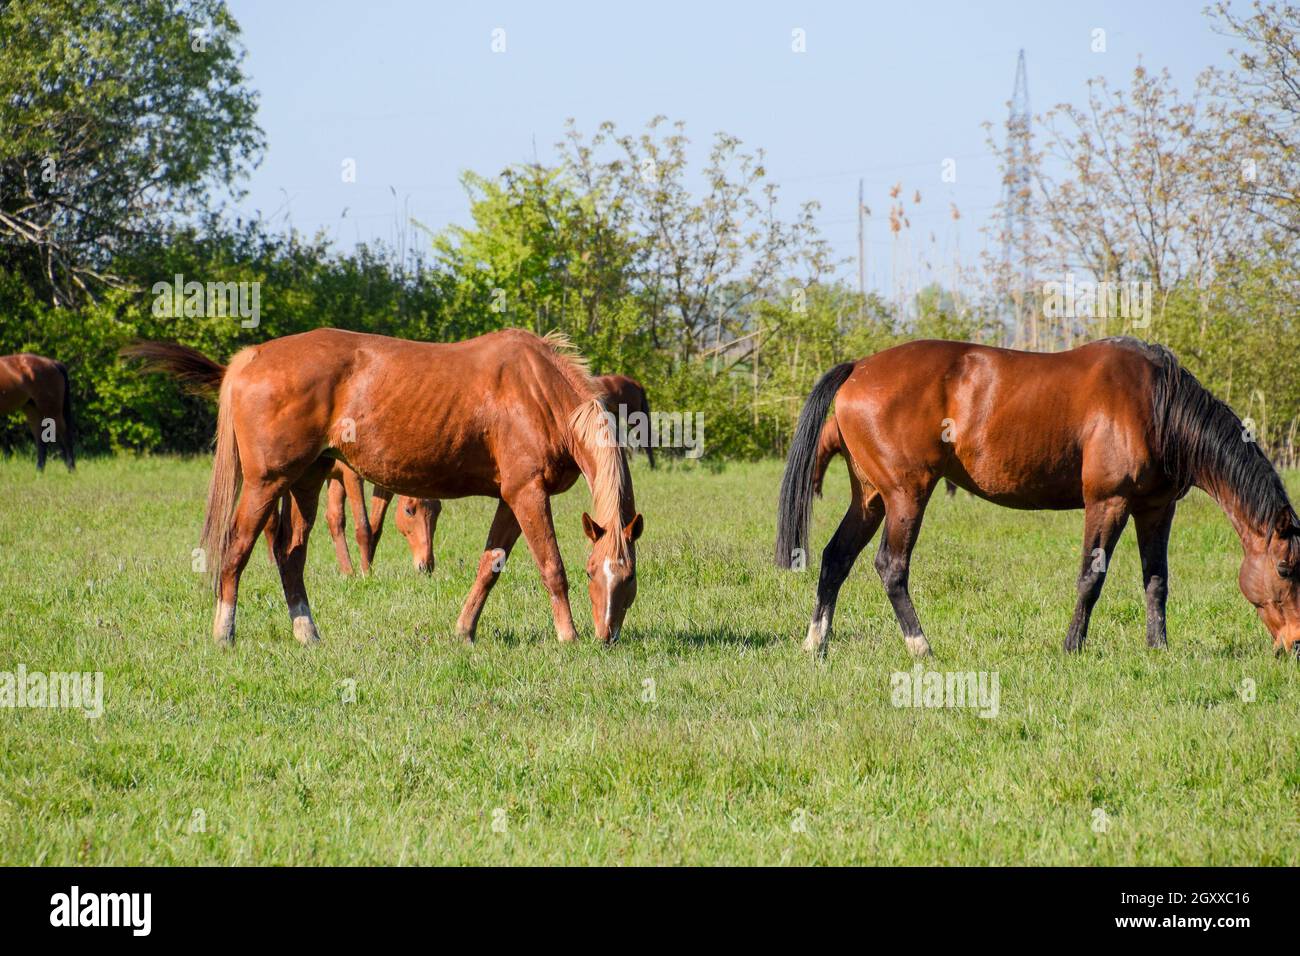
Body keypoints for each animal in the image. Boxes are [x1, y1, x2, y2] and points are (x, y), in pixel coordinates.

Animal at [120, 342, 440, 576]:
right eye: (410, 511)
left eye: (436, 513)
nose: (427, 566)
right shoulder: (351, 476)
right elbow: (362, 526)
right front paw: (364, 573)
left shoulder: (348, 479)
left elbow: (359, 523)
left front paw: (353, 570)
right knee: (270, 523)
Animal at [166, 327, 640, 648]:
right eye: (591, 572)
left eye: (629, 577)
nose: (607, 635)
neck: (538, 392)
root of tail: (251, 357)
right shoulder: (528, 494)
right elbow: (551, 567)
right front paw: (568, 635)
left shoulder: (512, 499)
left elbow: (489, 566)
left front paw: (465, 631)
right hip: (266, 484)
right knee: (237, 548)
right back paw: (224, 633)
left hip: (307, 481)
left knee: (290, 554)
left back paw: (307, 632)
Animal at [777, 337, 1300, 658]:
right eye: (1284, 568)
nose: (1294, 643)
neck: (1156, 405)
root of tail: (858, 369)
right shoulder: (1107, 502)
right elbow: (1091, 578)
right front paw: (1073, 647)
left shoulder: (1155, 508)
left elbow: (1157, 581)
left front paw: (1159, 648)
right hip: (907, 495)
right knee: (891, 567)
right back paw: (920, 645)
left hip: (871, 498)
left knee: (836, 558)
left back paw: (816, 643)